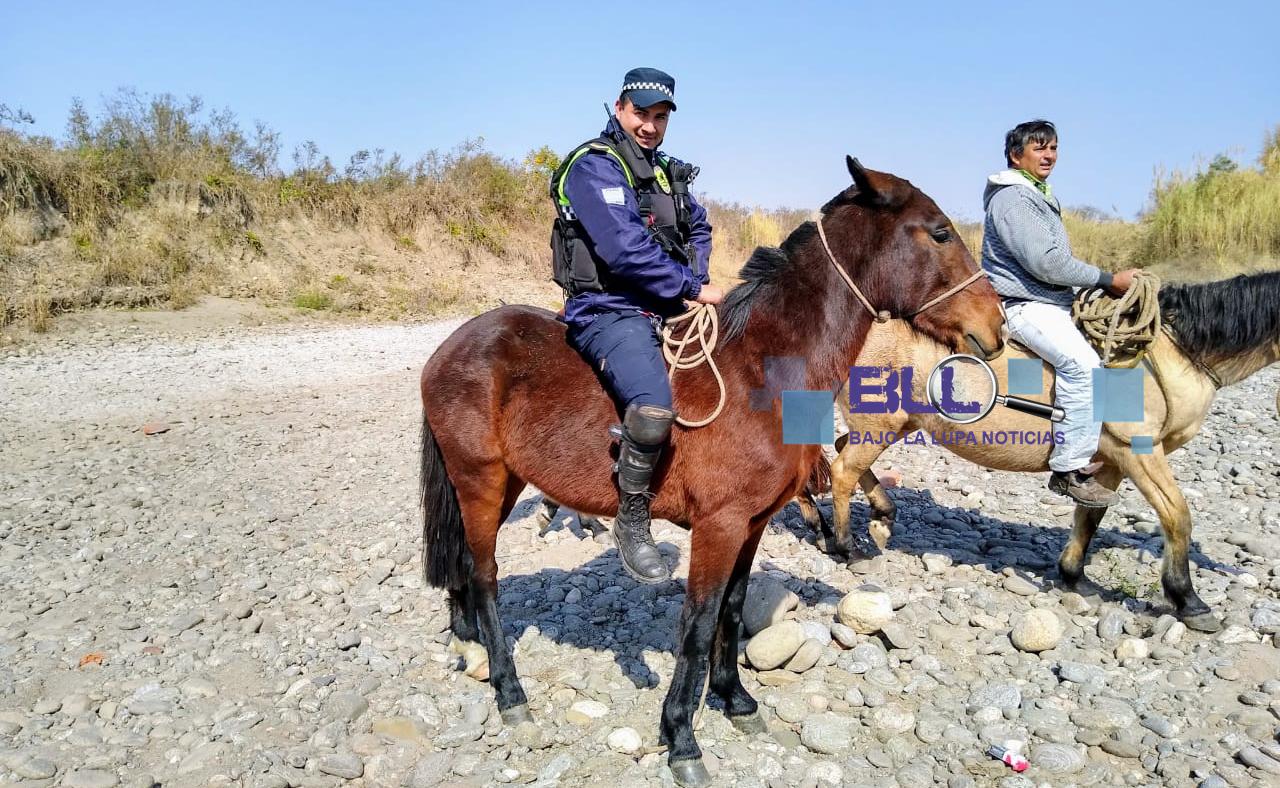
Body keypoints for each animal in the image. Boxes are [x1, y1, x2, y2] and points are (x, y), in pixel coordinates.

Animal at [416, 157, 1005, 787]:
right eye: (940, 232)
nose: (996, 326)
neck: (765, 369)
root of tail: (451, 345)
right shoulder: (718, 527)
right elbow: (698, 626)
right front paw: (681, 735)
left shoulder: (752, 523)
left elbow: (732, 608)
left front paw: (735, 698)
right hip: (480, 480)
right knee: (485, 577)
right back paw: (509, 691)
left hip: (502, 484)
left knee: (465, 569)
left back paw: (470, 645)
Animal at [822, 270, 1280, 633]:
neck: (1171, 353)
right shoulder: (1140, 452)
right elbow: (1177, 517)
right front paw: (1189, 600)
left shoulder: (1111, 460)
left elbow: (1090, 515)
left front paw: (1075, 577)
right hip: (881, 425)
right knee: (843, 470)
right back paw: (848, 547)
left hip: (893, 425)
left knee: (845, 454)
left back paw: (883, 515)